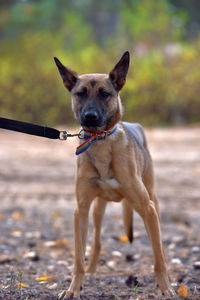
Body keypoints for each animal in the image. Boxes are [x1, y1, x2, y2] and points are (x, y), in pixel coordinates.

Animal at [54, 51, 174, 298]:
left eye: (105, 94)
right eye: (80, 94)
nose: (90, 117)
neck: (100, 141)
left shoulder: (147, 207)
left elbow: (158, 257)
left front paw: (165, 288)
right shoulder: (81, 210)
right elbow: (78, 258)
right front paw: (73, 288)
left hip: (152, 202)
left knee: (157, 244)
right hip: (97, 209)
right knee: (97, 242)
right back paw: (91, 272)